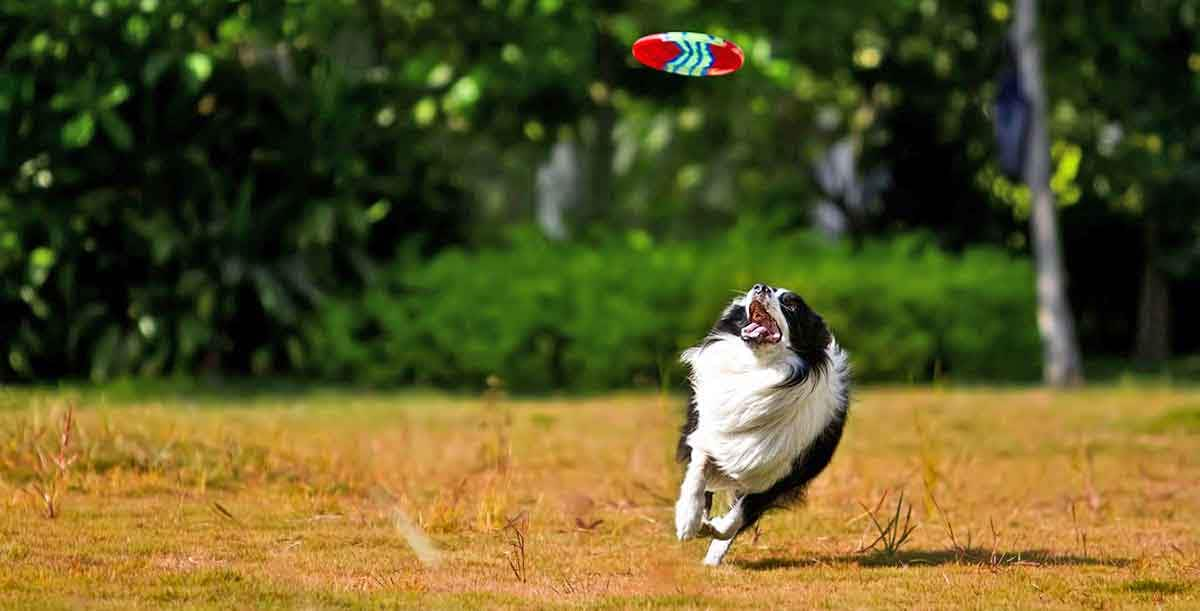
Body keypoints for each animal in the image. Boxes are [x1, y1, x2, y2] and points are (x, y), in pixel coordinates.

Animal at [676, 283, 854, 564]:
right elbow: (697, 475)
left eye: (791, 304)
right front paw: (688, 521)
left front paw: (712, 528)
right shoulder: (709, 436)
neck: (760, 370)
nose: (761, 287)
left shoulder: (782, 475)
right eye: (763, 289)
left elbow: (737, 518)